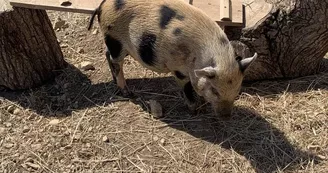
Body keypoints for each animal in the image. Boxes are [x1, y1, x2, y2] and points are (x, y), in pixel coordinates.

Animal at [88, 0, 258, 117]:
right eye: (214, 90)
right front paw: (194, 110)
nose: (226, 117)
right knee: (116, 62)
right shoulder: (178, 69)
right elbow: (187, 88)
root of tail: (102, 6)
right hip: (114, 37)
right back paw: (128, 93)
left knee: (108, 55)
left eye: (237, 89)